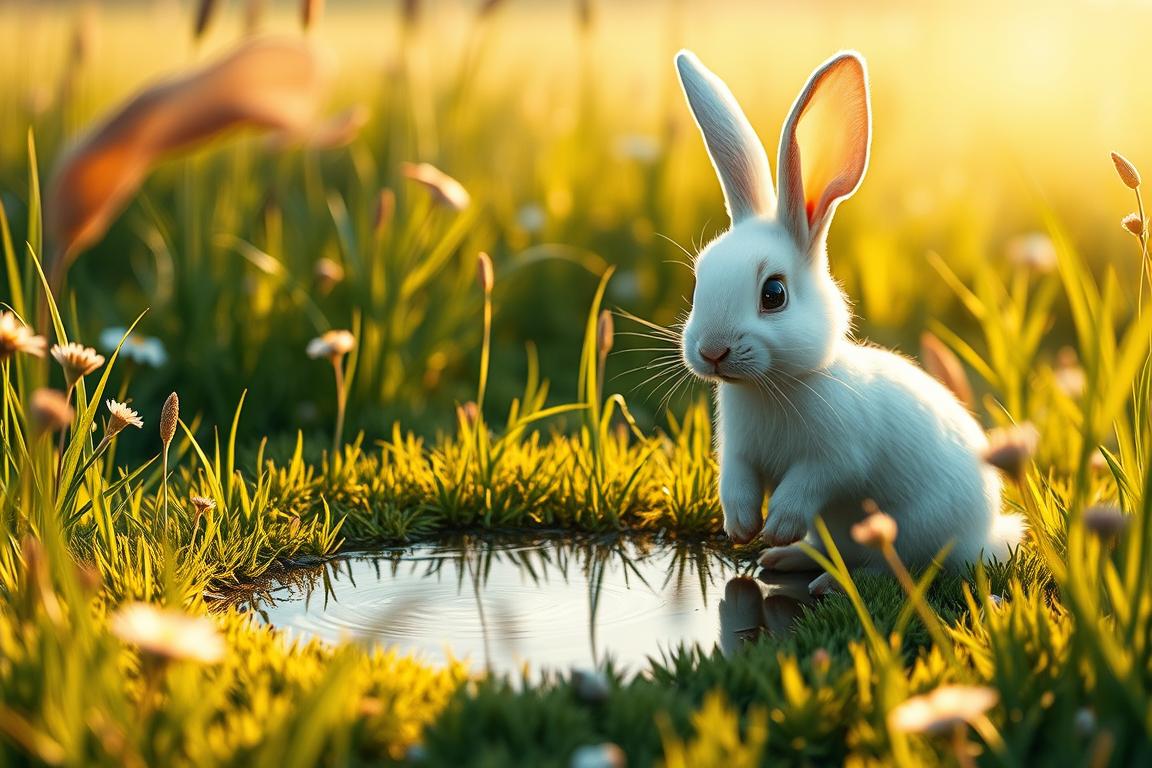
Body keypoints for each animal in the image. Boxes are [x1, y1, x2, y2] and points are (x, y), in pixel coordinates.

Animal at [672, 49, 1023, 594]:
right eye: (697, 285)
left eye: (773, 294)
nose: (712, 351)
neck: (775, 385)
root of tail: (984, 535)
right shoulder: (737, 453)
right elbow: (737, 485)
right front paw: (743, 530)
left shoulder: (836, 457)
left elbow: (808, 484)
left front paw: (775, 528)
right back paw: (787, 559)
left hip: (911, 532)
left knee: (898, 569)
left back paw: (829, 581)